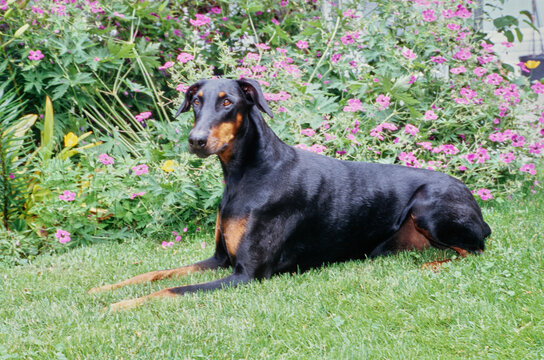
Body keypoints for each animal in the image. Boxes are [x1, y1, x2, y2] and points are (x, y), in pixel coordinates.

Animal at [88, 78, 488, 310]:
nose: (196, 140)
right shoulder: (220, 259)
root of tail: (475, 204)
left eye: (228, 102)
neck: (246, 175)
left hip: (430, 206)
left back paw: (431, 264)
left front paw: (118, 306)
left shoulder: (245, 275)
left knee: (474, 251)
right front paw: (105, 289)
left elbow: (170, 290)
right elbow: (156, 274)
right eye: (196, 100)